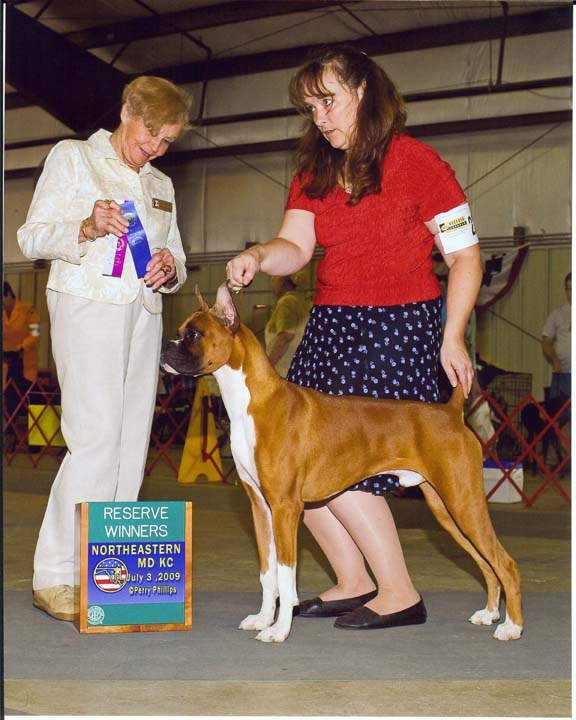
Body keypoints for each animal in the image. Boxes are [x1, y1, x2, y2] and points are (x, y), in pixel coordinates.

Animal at [159, 284, 520, 644]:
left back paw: (511, 627)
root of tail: (451, 411)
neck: (254, 400)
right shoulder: (261, 508)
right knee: (485, 562)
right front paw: (263, 619)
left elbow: (286, 577)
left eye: (194, 334)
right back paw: (489, 613)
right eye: (181, 331)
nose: (165, 349)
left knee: (505, 564)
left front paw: (280, 629)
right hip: (446, 509)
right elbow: (267, 573)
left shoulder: (286, 508)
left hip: (464, 503)